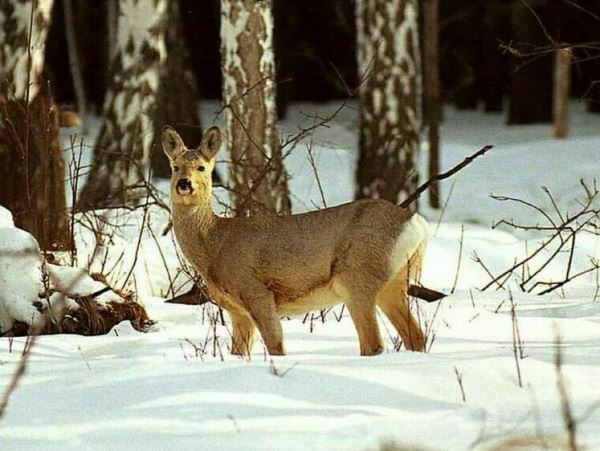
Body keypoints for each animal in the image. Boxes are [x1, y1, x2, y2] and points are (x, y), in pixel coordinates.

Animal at [162, 125, 428, 354]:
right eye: (175, 166)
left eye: (201, 167)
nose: (184, 183)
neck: (215, 243)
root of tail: (415, 222)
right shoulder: (236, 311)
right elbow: (239, 353)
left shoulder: (256, 291)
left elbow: (276, 345)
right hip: (393, 282)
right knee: (416, 336)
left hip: (356, 276)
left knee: (374, 344)